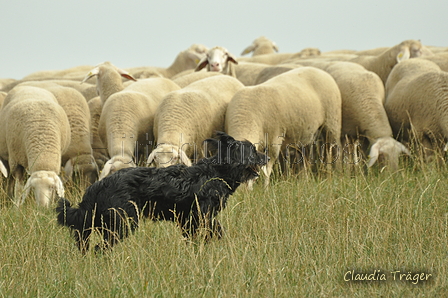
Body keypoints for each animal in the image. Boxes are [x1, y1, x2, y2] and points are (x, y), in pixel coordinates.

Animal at [56, 132, 266, 251]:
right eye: (253, 151)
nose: (268, 157)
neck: (216, 172)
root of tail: (99, 186)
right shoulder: (199, 216)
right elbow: (211, 233)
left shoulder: (190, 219)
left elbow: (212, 233)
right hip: (123, 223)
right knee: (100, 248)